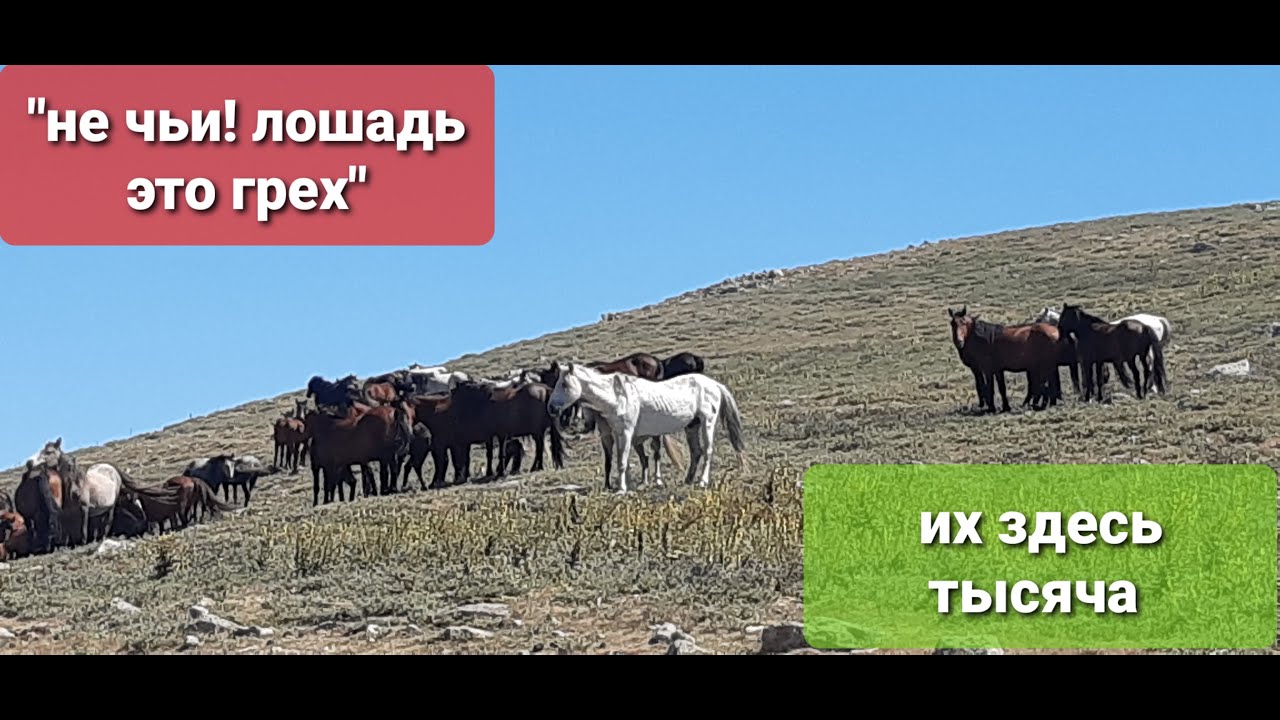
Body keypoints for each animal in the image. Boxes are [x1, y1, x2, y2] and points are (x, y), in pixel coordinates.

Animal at [547, 362, 746, 493]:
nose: (551, 408)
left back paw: (702, 482)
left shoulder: (626, 432)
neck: (618, 396)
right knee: (696, 452)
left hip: (707, 422)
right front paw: (625, 486)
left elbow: (622, 462)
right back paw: (688, 480)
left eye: (564, 384)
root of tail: (714, 384)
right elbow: (623, 461)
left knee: (708, 451)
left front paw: (621, 490)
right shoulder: (619, 434)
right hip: (692, 426)